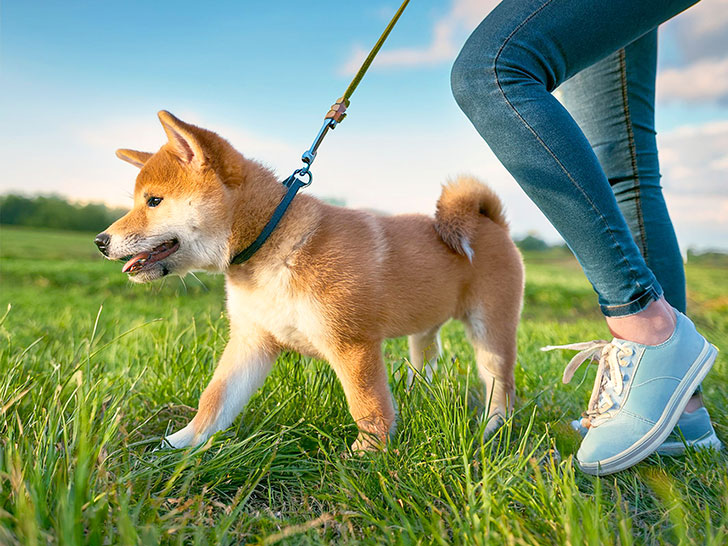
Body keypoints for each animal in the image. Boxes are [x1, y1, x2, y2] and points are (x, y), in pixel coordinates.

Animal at [95, 111, 524, 450]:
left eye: (153, 201)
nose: (100, 241)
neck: (273, 246)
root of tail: (491, 222)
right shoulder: (252, 341)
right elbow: (215, 399)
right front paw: (177, 445)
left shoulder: (352, 344)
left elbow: (368, 407)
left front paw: (367, 459)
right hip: (424, 331)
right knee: (427, 364)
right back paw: (419, 399)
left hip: (490, 330)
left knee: (499, 385)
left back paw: (491, 429)